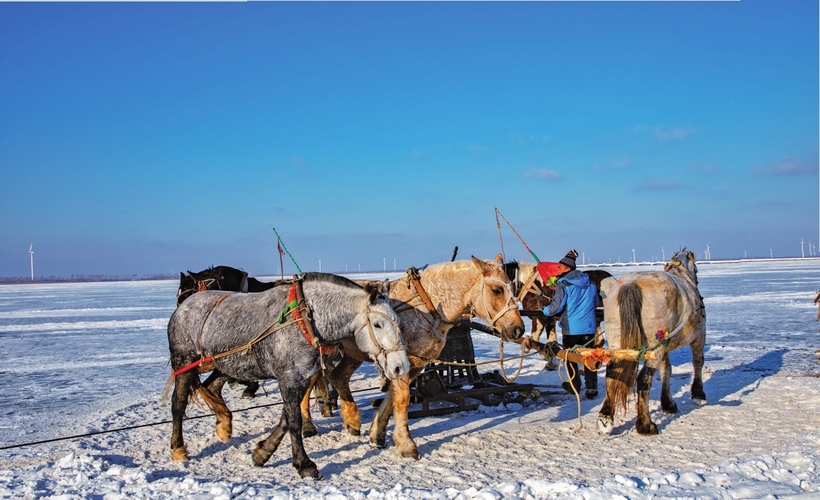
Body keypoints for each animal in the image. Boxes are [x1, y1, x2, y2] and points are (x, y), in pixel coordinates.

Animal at [167, 274, 410, 480]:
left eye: (398, 321)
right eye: (377, 324)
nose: (401, 366)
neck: (307, 320)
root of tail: (183, 305)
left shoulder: (300, 378)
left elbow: (286, 419)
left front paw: (262, 453)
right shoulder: (289, 379)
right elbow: (294, 422)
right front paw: (304, 464)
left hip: (225, 364)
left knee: (211, 387)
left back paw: (224, 425)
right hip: (184, 363)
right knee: (178, 404)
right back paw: (178, 448)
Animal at [298, 256, 524, 458]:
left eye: (513, 288)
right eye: (496, 290)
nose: (518, 329)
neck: (426, 306)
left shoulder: (412, 364)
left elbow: (392, 398)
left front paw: (377, 434)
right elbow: (402, 400)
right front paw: (406, 445)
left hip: (353, 354)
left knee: (339, 377)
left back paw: (351, 421)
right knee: (308, 385)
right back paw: (307, 424)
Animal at [596, 249, 704, 434]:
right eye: (696, 269)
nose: (696, 280)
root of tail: (631, 285)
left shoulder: (665, 346)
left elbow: (667, 370)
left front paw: (668, 403)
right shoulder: (698, 337)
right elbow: (698, 362)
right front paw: (698, 395)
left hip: (620, 344)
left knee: (612, 375)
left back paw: (606, 418)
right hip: (654, 348)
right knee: (644, 379)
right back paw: (646, 424)